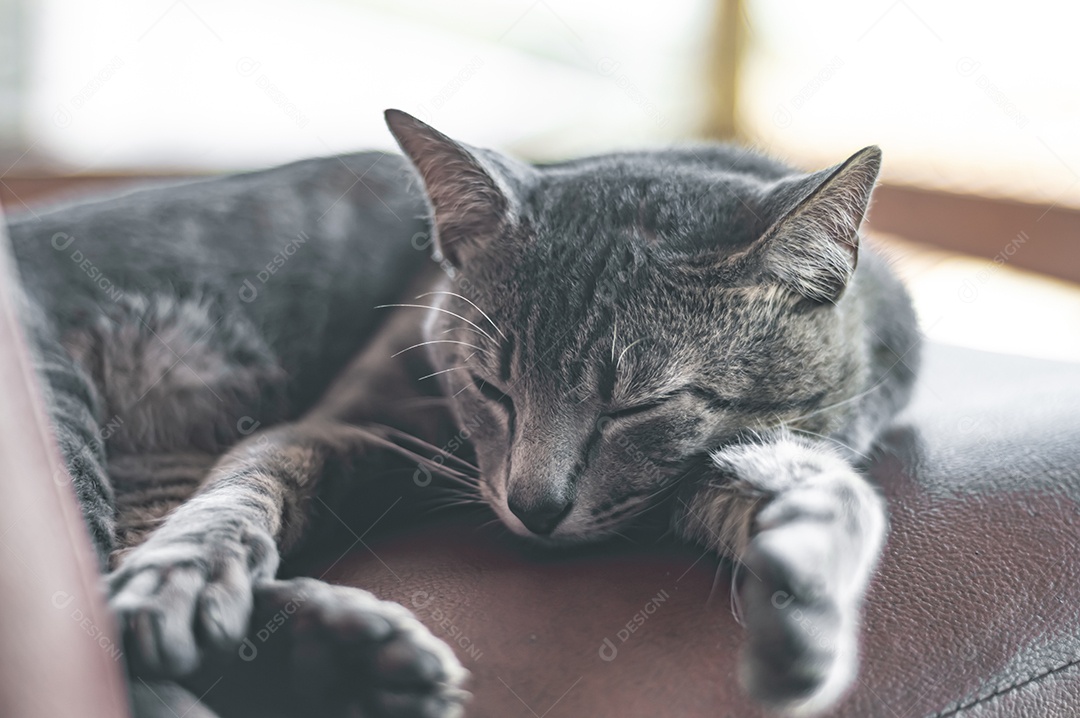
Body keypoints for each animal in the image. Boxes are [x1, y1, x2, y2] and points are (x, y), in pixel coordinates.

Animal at [8, 107, 920, 716]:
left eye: (640, 404)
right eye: (492, 388)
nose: (533, 506)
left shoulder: (723, 463)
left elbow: (823, 492)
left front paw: (803, 610)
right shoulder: (340, 423)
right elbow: (245, 489)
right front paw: (188, 574)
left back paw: (357, 661)